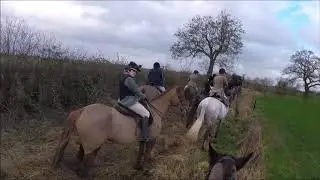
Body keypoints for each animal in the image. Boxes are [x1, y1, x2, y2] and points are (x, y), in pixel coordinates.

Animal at [51, 85, 184, 176]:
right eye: (182, 95)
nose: (184, 111)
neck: (155, 111)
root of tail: (82, 110)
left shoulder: (144, 139)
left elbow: (141, 152)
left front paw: (138, 167)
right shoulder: (152, 138)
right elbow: (147, 153)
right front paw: (146, 167)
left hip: (91, 143)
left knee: (82, 156)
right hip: (93, 144)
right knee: (84, 159)